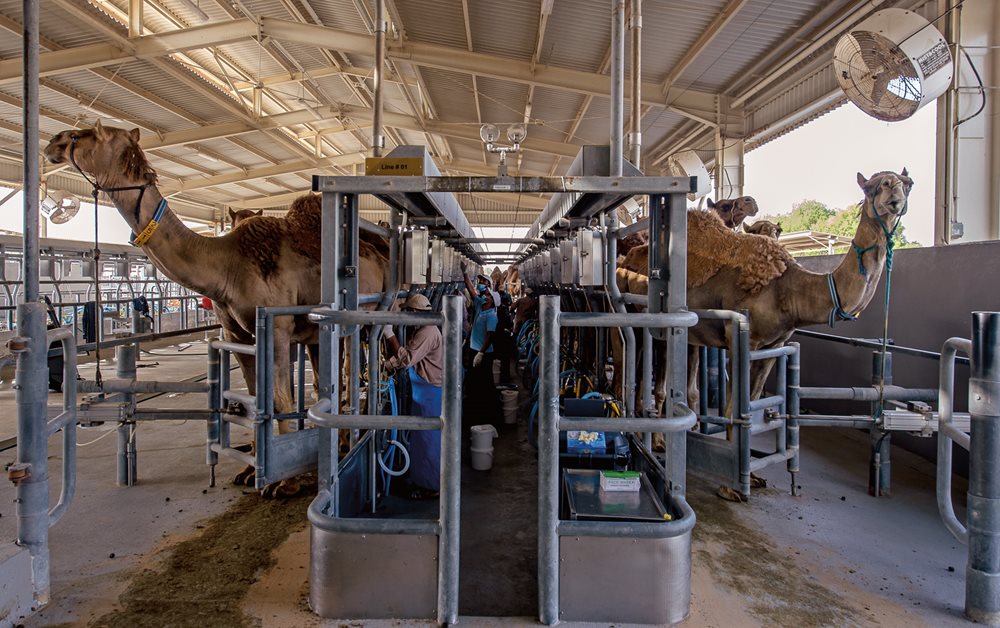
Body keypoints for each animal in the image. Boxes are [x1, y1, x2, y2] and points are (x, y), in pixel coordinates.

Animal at [47, 121, 390, 496]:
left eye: (89, 133)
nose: (53, 142)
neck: (227, 265)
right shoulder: (236, 333)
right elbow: (255, 399)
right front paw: (250, 470)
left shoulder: (278, 326)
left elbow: (279, 399)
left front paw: (284, 482)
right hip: (320, 331)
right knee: (329, 380)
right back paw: (339, 441)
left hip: (362, 317)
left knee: (355, 371)